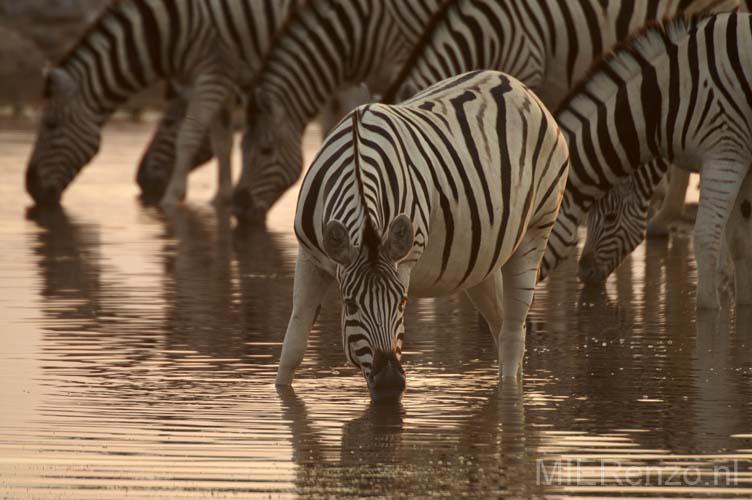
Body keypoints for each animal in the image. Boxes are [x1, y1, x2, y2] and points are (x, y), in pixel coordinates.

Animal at [25, 0, 302, 207]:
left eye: (51, 125)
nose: (30, 187)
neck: (168, 30)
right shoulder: (220, 80)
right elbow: (221, 142)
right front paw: (220, 198)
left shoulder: (213, 73)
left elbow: (188, 137)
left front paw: (172, 198)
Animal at [276, 70, 568, 398]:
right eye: (350, 305)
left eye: (403, 302)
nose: (390, 384)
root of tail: (515, 84)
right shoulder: (309, 257)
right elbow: (294, 343)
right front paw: (281, 394)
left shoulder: (404, 261)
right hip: (481, 261)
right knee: (500, 322)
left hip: (537, 229)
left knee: (514, 330)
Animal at [536, 13, 752, 310]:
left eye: (611, 217)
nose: (584, 274)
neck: (665, 101)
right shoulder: (742, 160)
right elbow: (741, 241)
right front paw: (743, 310)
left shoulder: (724, 155)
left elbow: (706, 238)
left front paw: (709, 311)